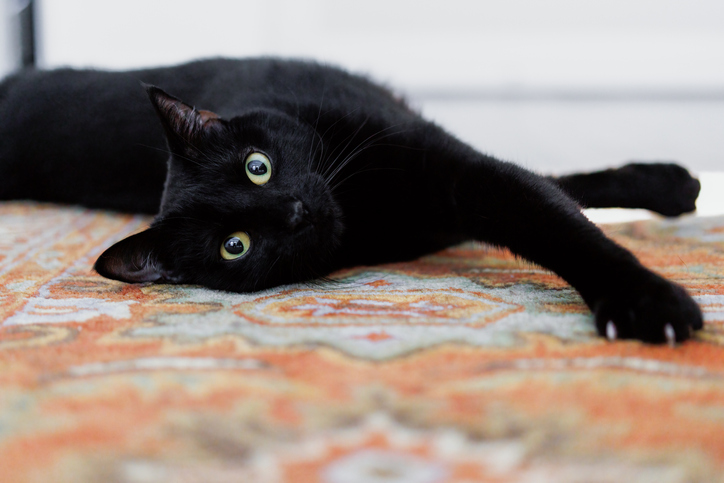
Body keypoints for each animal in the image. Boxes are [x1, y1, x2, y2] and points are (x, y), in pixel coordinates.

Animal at [0, 57, 700, 344]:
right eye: (235, 246)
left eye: (257, 167)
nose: (295, 211)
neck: (369, 211)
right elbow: (555, 200)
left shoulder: (457, 173)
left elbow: (556, 217)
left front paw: (644, 299)